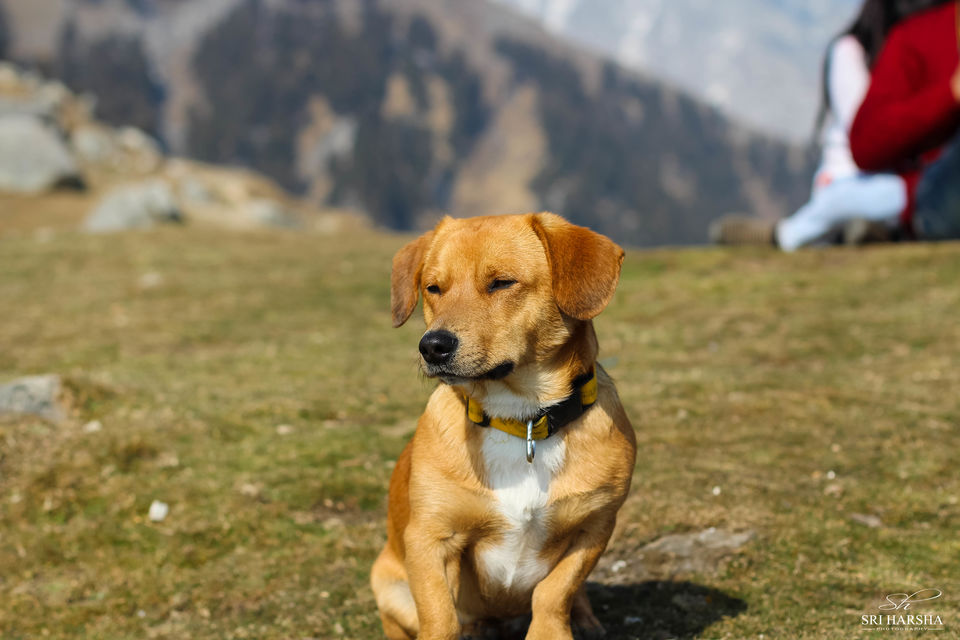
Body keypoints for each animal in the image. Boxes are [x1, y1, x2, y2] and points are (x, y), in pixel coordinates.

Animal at [372, 212, 632, 636]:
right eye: (433, 288)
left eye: (501, 283)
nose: (432, 346)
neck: (520, 419)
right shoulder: (430, 540)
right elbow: (440, 616)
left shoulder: (594, 528)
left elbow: (554, 593)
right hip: (387, 586)